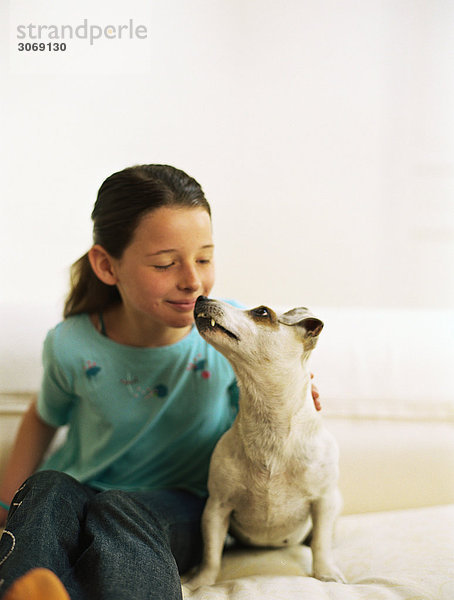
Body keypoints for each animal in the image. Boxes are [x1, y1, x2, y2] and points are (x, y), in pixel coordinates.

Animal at [184, 296, 344, 592]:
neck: (270, 423)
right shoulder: (216, 507)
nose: (202, 297)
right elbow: (211, 553)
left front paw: (326, 573)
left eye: (261, 312)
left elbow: (321, 543)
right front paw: (200, 582)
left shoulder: (324, 502)